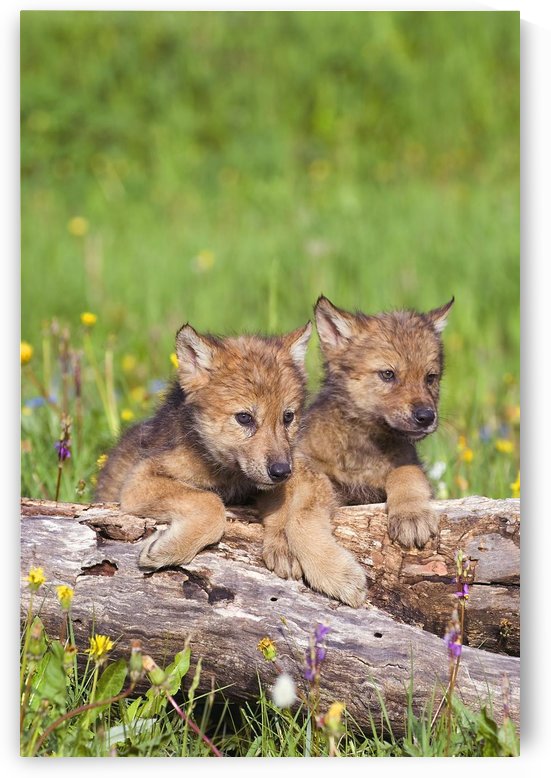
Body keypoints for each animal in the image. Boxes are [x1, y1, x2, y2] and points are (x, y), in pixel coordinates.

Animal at [96, 321, 312, 570]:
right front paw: (169, 550)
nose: (281, 471)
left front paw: (283, 547)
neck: (227, 475)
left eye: (288, 417)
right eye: (244, 418)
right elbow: (210, 502)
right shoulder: (140, 480)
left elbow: (285, 505)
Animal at [262, 295, 453, 607]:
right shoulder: (312, 471)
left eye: (430, 378)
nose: (426, 416)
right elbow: (297, 512)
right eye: (388, 374)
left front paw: (411, 516)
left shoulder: (404, 463)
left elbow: (405, 474)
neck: (361, 447)